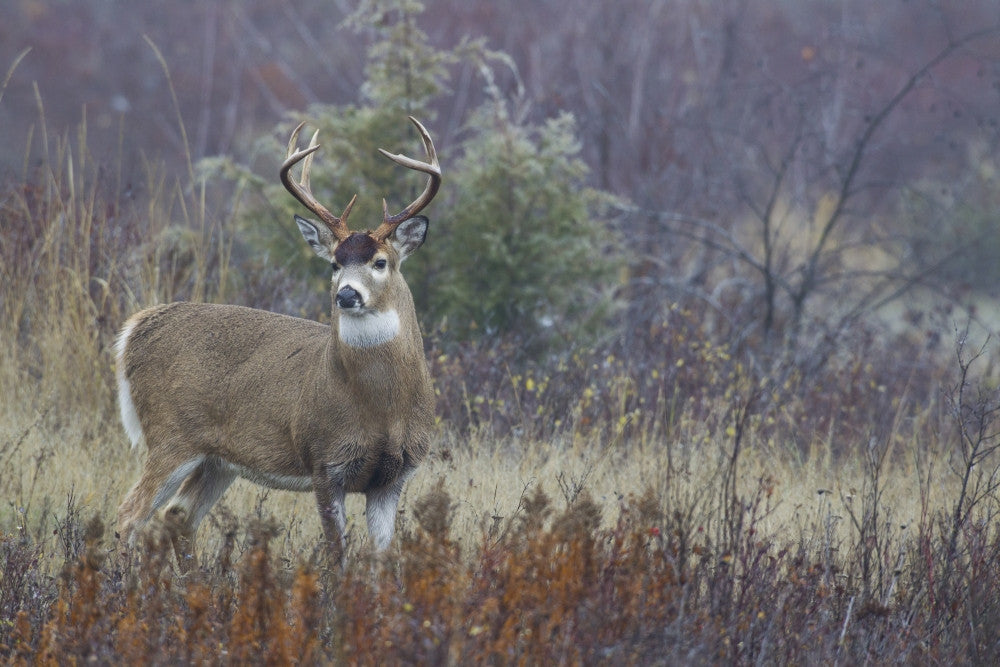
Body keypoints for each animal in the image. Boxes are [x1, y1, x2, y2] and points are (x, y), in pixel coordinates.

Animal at [115, 116, 441, 571]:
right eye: (335, 263)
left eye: (381, 262)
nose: (346, 294)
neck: (382, 409)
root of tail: (135, 329)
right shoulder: (324, 459)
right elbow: (336, 555)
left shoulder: (394, 475)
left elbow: (381, 558)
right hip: (170, 434)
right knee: (129, 516)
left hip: (218, 459)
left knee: (177, 514)